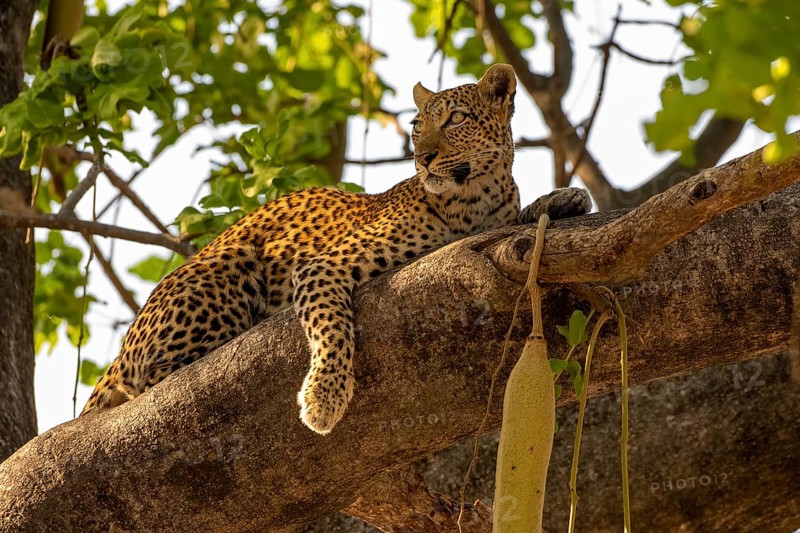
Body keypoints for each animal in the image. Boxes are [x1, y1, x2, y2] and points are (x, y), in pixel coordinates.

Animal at [81, 63, 591, 434]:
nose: (422, 157)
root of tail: (122, 349)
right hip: (228, 263)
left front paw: (565, 197)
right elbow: (331, 326)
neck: (476, 198)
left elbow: (524, 214)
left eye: (456, 119)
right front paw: (324, 396)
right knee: (153, 379)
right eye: (416, 126)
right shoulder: (321, 266)